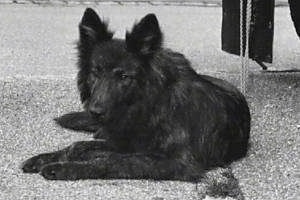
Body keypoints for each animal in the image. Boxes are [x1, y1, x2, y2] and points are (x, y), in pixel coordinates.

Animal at [21, 8, 251, 181]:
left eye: (124, 76)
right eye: (96, 72)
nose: (95, 111)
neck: (149, 106)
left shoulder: (177, 162)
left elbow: (113, 161)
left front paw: (64, 168)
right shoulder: (122, 141)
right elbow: (78, 146)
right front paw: (45, 157)